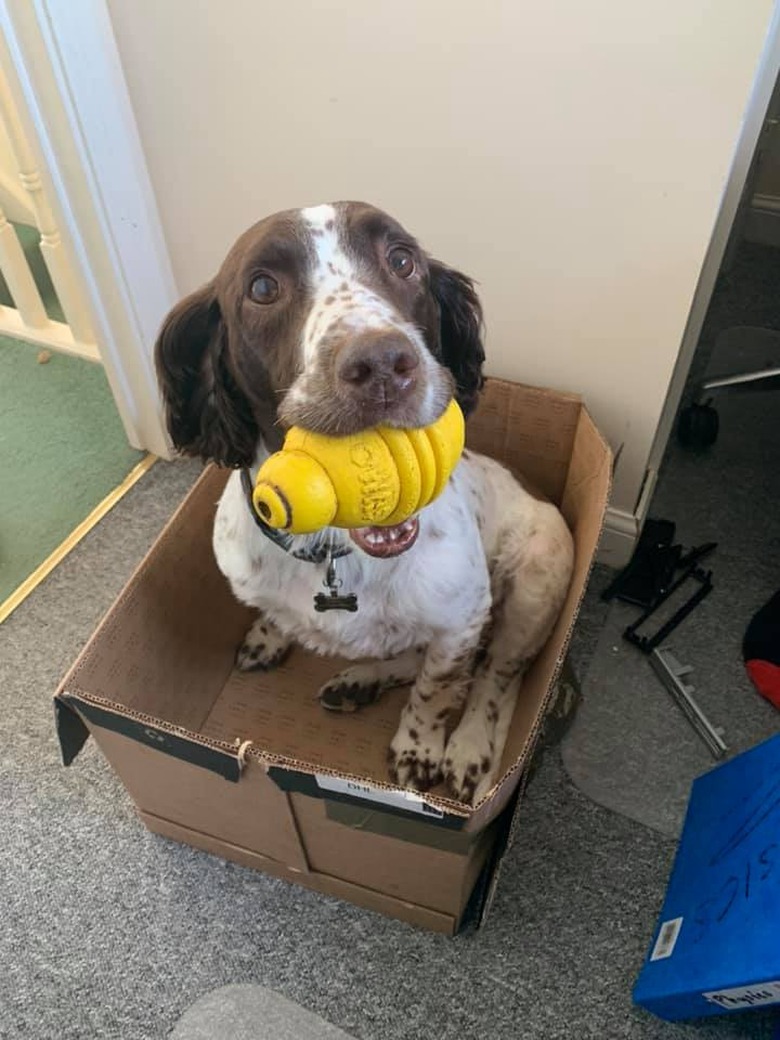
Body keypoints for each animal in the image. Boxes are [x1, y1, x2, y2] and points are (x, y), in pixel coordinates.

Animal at [156, 200, 578, 802]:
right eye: (262, 287)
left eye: (401, 260)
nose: (382, 364)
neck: (332, 549)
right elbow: (284, 617)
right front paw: (270, 633)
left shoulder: (464, 617)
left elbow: (436, 689)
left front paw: (420, 749)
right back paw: (358, 682)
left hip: (537, 581)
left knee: (494, 674)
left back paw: (468, 745)